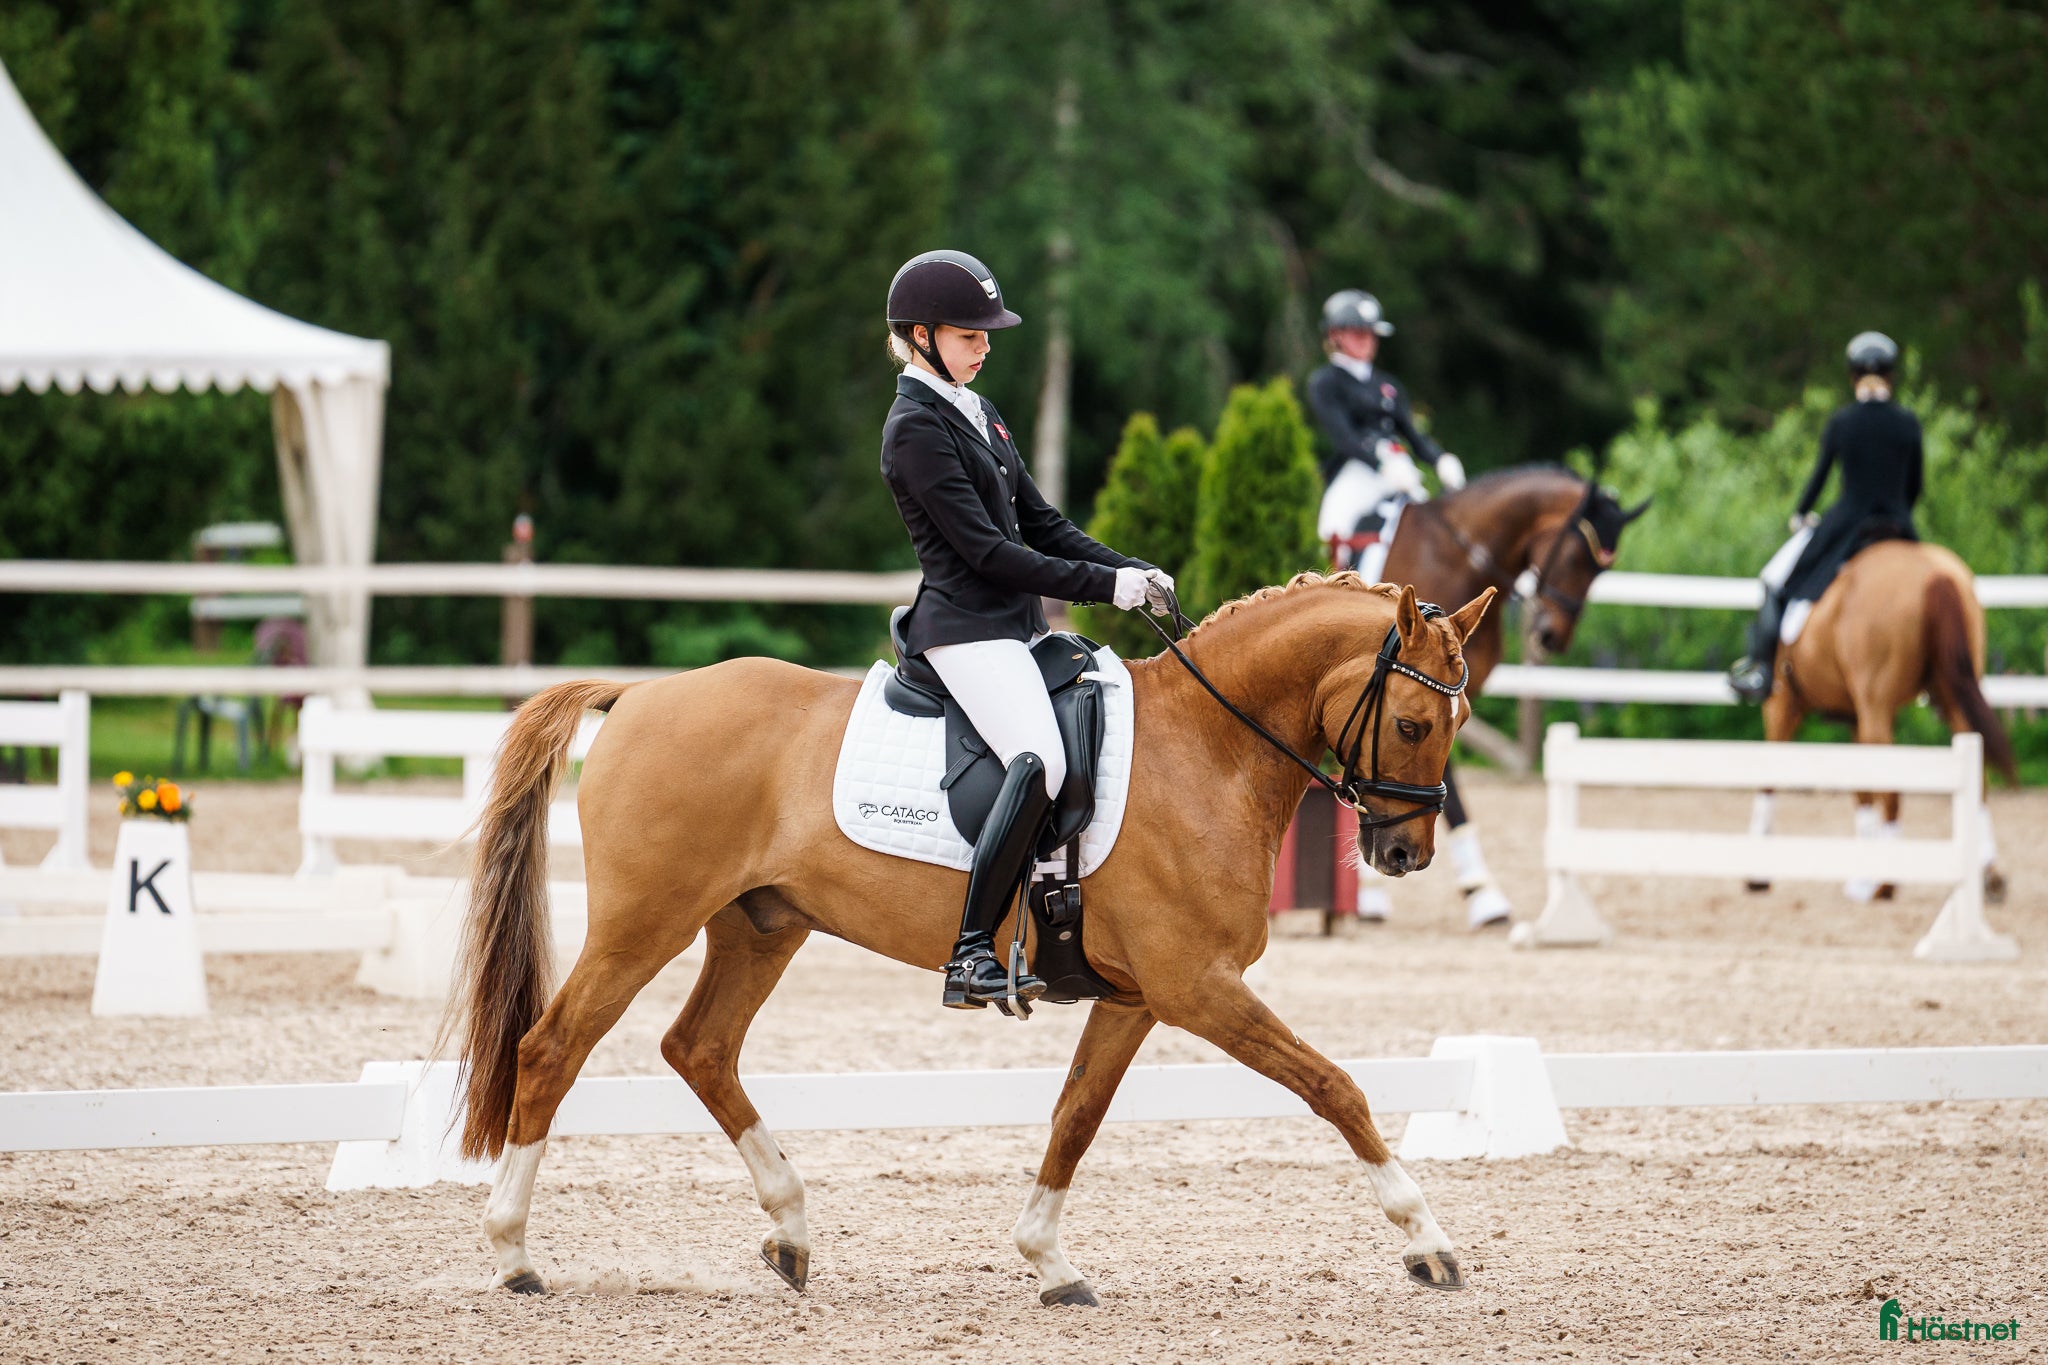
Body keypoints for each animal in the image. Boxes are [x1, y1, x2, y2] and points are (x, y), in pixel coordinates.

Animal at [448, 575, 1496, 1306]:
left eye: (1461, 717)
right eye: (1412, 722)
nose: (1403, 852)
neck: (1207, 747)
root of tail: (637, 696)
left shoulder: (1139, 996)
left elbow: (1076, 1116)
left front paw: (1050, 1261)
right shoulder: (1198, 985)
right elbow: (1335, 1085)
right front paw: (1428, 1241)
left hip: (762, 925)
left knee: (698, 1046)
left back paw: (791, 1230)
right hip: (644, 922)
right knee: (551, 1049)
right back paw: (512, 1254)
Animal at [1751, 540, 2014, 901]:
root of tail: (1934, 574)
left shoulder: (1782, 704)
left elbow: (1769, 774)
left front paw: (1757, 873)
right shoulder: (1853, 717)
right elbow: (1861, 787)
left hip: (1875, 704)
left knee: (1892, 787)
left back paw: (1887, 883)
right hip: (1954, 695)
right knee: (1977, 776)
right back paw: (1989, 875)